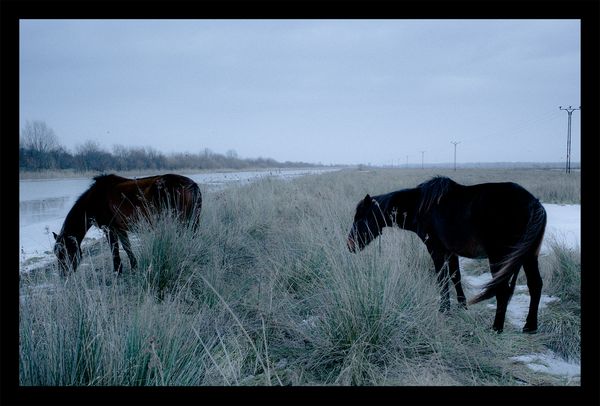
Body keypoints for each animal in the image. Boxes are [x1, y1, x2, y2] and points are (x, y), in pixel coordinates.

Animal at [53, 173, 202, 275]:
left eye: (64, 251)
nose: (63, 275)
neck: (95, 199)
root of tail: (192, 185)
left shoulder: (109, 229)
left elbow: (115, 249)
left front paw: (117, 271)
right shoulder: (120, 229)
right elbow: (127, 247)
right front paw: (134, 267)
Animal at [347, 176, 546, 334]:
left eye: (361, 218)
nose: (349, 245)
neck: (421, 206)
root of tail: (533, 203)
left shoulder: (436, 250)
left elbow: (442, 278)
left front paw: (444, 309)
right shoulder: (451, 252)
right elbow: (455, 276)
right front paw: (461, 306)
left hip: (499, 258)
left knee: (503, 290)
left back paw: (497, 327)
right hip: (529, 256)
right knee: (535, 285)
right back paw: (530, 326)